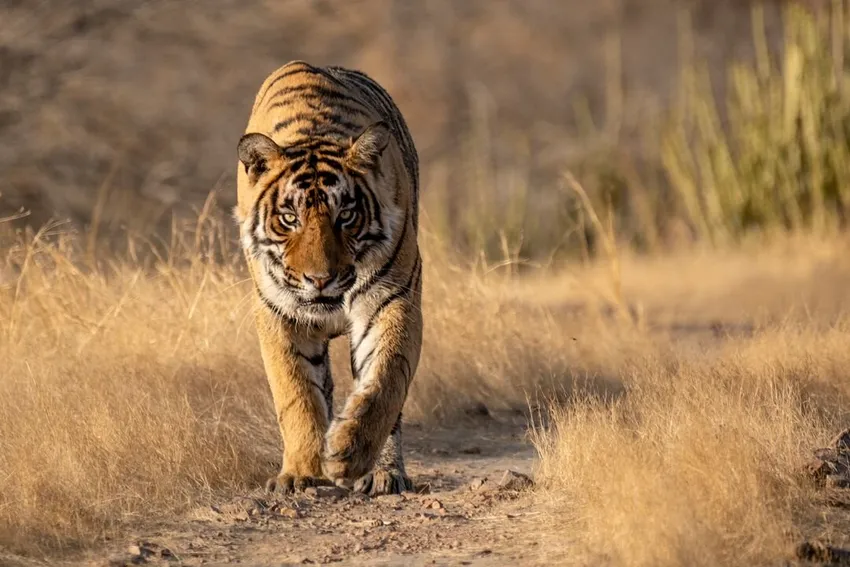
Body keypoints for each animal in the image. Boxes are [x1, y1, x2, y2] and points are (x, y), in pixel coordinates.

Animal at [234, 61, 422, 496]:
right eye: (290, 218)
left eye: (346, 216)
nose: (320, 279)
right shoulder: (278, 314)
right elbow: (297, 393)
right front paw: (300, 472)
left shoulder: (392, 299)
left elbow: (385, 379)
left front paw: (348, 453)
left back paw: (383, 473)